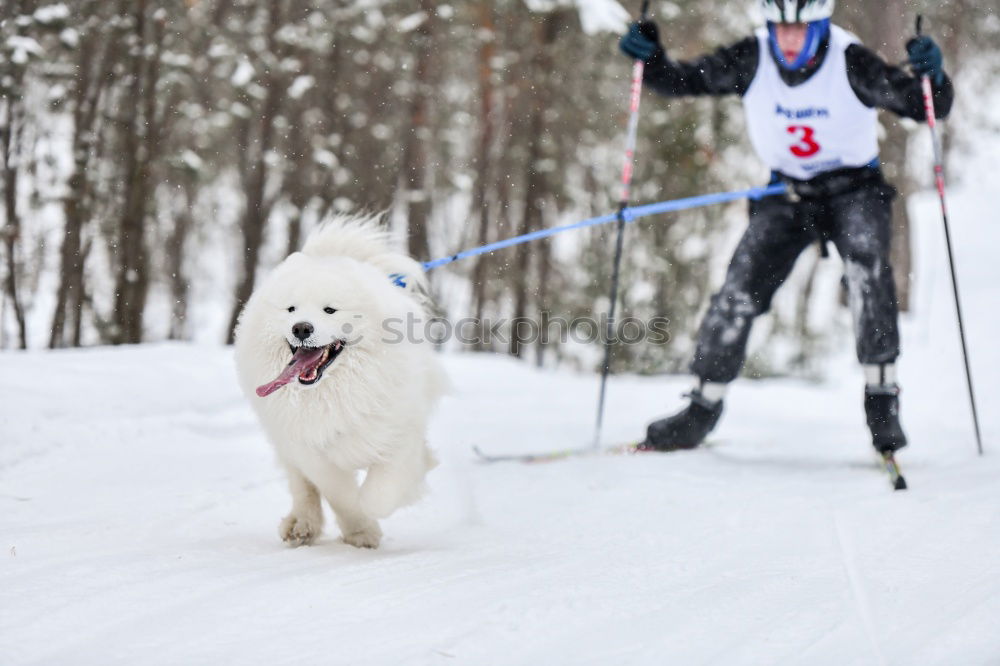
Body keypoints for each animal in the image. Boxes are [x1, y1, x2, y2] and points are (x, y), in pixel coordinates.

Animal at [234, 215, 446, 548]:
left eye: (330, 310)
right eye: (291, 309)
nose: (301, 327)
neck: (335, 394)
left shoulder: (399, 432)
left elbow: (379, 494)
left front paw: (380, 510)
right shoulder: (309, 449)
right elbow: (340, 494)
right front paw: (361, 530)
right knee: (301, 486)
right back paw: (301, 525)